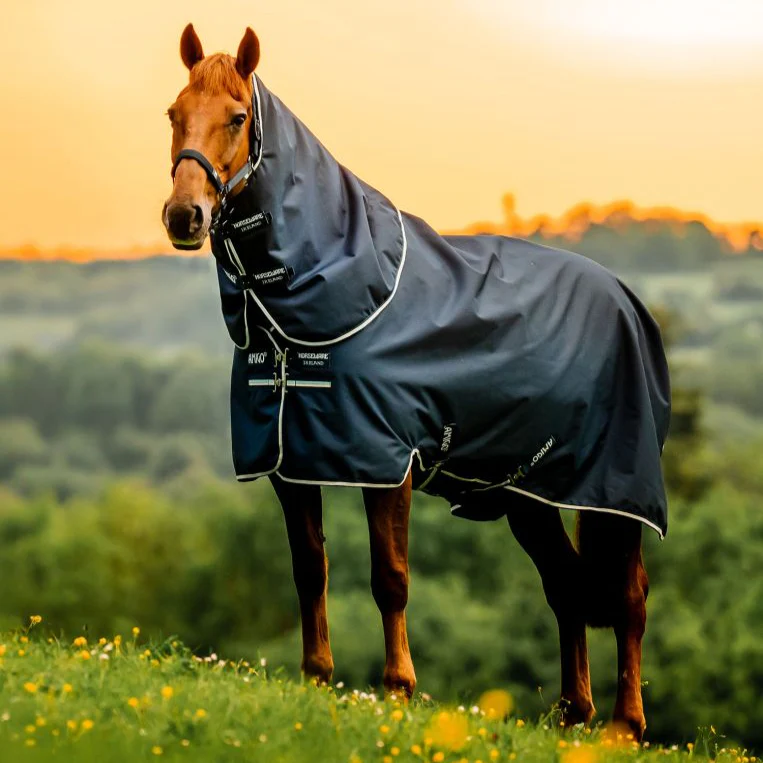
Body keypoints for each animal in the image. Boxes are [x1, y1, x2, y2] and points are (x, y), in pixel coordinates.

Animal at [161, 24, 670, 741]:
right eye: (173, 114)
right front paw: (315, 677)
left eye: (236, 117)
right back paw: (574, 714)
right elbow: (309, 569)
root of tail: (626, 300)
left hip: (615, 490)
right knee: (566, 586)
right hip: (530, 494)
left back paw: (624, 724)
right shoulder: (290, 462)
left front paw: (398, 688)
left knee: (628, 595)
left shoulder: (386, 462)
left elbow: (390, 577)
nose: (184, 216)